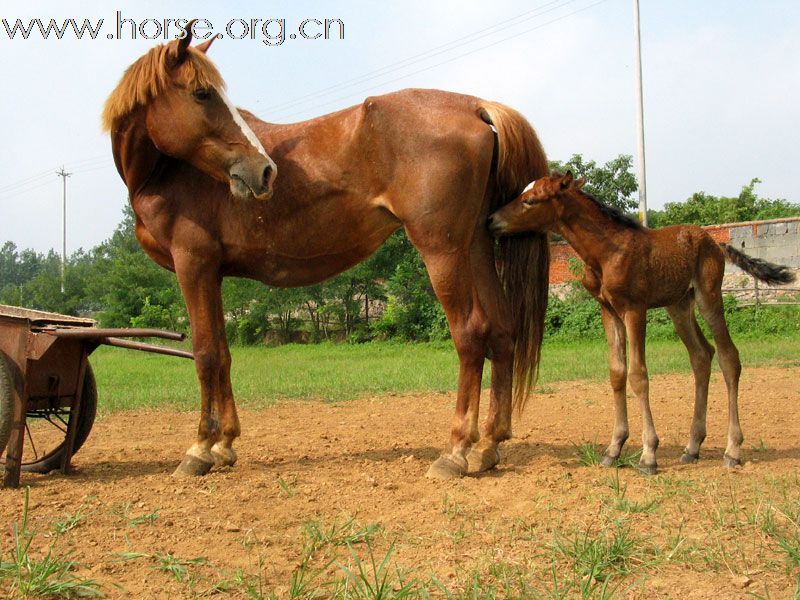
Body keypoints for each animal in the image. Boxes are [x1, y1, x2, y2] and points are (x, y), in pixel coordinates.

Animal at [101, 29, 552, 478]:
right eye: (201, 93)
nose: (263, 170)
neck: (168, 172)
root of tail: (476, 107)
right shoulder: (212, 273)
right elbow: (224, 354)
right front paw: (224, 445)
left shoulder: (193, 265)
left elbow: (206, 354)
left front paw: (199, 449)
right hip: (475, 246)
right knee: (502, 330)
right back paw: (489, 445)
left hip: (442, 251)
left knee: (471, 335)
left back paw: (456, 450)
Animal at [488, 170, 792, 474]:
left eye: (530, 200)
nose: (491, 220)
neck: (606, 253)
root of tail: (716, 243)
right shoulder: (608, 311)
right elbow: (617, 373)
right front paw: (614, 448)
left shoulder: (635, 309)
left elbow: (638, 375)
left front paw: (648, 454)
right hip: (679, 305)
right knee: (701, 355)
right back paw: (692, 447)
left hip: (708, 296)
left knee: (729, 357)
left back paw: (732, 450)